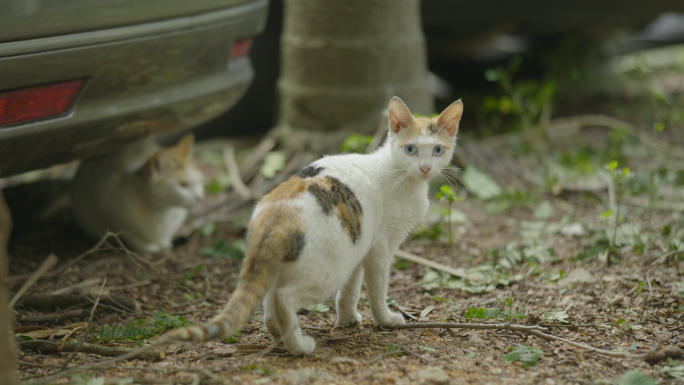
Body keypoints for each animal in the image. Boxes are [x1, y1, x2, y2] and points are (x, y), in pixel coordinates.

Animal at [73, 134, 206, 254]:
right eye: (183, 185)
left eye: (200, 181)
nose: (200, 198)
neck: (161, 210)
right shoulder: (107, 204)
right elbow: (132, 236)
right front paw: (149, 247)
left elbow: (166, 237)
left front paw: (165, 244)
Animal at [159, 97, 464, 356]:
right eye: (410, 149)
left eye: (438, 150)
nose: (425, 168)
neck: (402, 177)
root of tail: (276, 212)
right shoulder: (379, 247)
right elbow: (377, 289)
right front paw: (386, 319)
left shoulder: (360, 246)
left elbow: (350, 290)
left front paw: (347, 320)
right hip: (325, 270)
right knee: (283, 299)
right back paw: (299, 347)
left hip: (303, 261)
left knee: (269, 305)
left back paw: (281, 336)